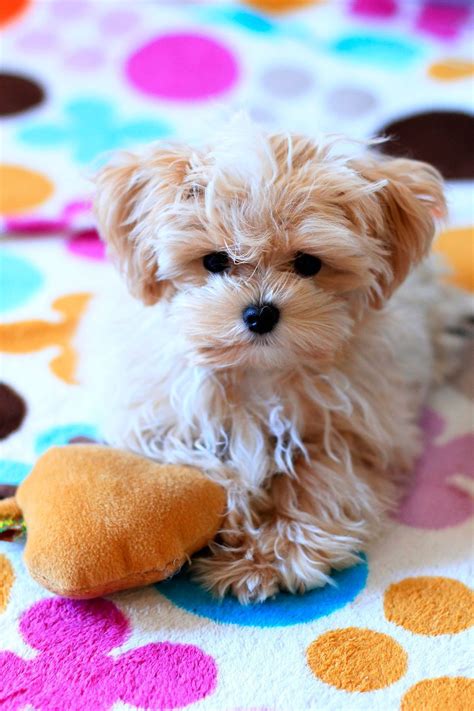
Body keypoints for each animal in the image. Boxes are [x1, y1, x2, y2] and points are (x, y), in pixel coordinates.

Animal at [94, 119, 468, 604]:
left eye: (308, 263)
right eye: (214, 261)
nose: (260, 313)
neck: (259, 371)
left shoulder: (353, 430)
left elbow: (322, 481)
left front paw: (267, 556)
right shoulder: (154, 415)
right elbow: (194, 464)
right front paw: (235, 506)